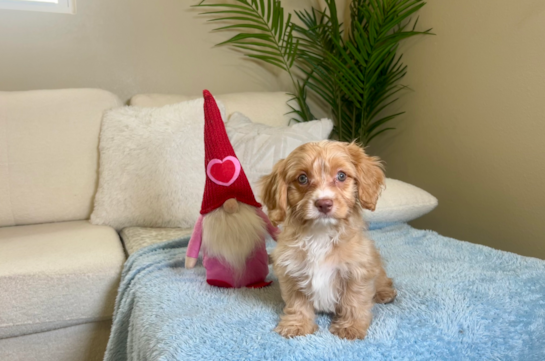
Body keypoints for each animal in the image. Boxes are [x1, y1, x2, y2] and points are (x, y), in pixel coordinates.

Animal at [260, 139, 396, 338]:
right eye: (302, 178)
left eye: (341, 175)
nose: (323, 203)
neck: (320, 233)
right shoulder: (292, 270)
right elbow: (297, 303)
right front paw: (297, 325)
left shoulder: (358, 271)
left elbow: (354, 300)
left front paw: (350, 327)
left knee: (383, 280)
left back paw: (385, 293)